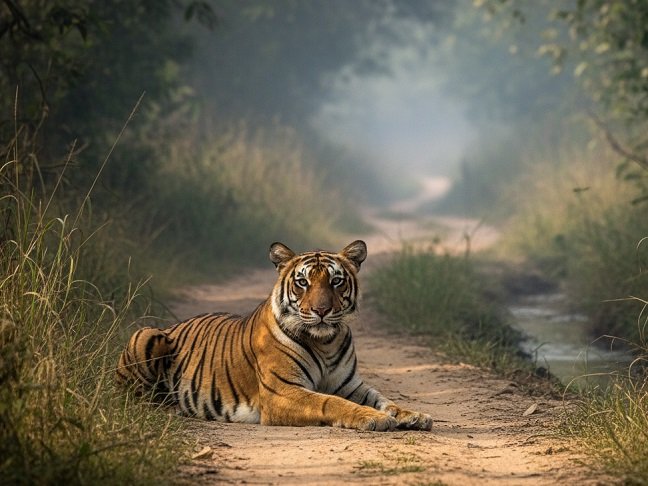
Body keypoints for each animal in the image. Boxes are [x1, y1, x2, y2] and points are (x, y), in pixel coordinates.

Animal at [116, 240, 433, 431]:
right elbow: (329, 402)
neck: (325, 342)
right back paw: (171, 408)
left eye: (336, 281)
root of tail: (173, 325)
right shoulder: (283, 391)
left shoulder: (351, 385)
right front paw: (373, 418)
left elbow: (384, 399)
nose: (321, 310)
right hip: (145, 335)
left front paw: (412, 415)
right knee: (132, 398)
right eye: (303, 282)